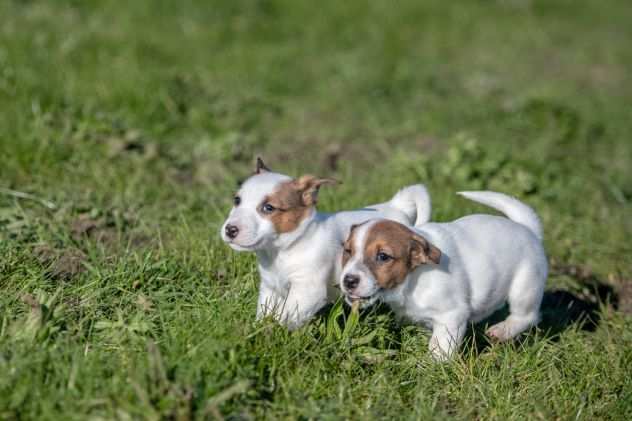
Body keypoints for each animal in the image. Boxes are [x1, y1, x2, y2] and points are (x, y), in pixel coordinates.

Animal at [220, 157, 432, 328]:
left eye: (268, 208)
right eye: (237, 200)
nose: (230, 229)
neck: (284, 249)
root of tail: (397, 206)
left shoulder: (307, 290)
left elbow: (284, 316)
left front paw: (269, 333)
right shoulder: (270, 288)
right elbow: (265, 313)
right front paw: (257, 329)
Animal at [340, 190, 548, 358]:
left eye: (383, 256)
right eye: (348, 251)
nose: (348, 280)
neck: (412, 281)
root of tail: (528, 229)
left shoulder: (452, 315)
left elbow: (440, 347)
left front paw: (432, 367)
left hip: (524, 288)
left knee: (528, 316)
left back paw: (502, 330)